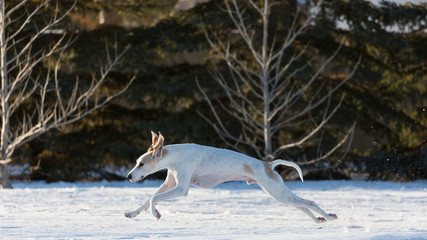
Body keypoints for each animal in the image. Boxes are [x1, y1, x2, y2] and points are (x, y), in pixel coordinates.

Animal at [125, 131, 340, 223]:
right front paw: (132, 213)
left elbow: (153, 198)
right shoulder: (169, 185)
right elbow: (148, 199)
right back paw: (319, 220)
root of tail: (268, 164)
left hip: (279, 192)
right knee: (304, 206)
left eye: (141, 164)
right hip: (280, 194)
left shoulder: (181, 189)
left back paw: (329, 216)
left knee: (310, 202)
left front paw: (156, 214)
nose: (128, 176)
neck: (175, 156)